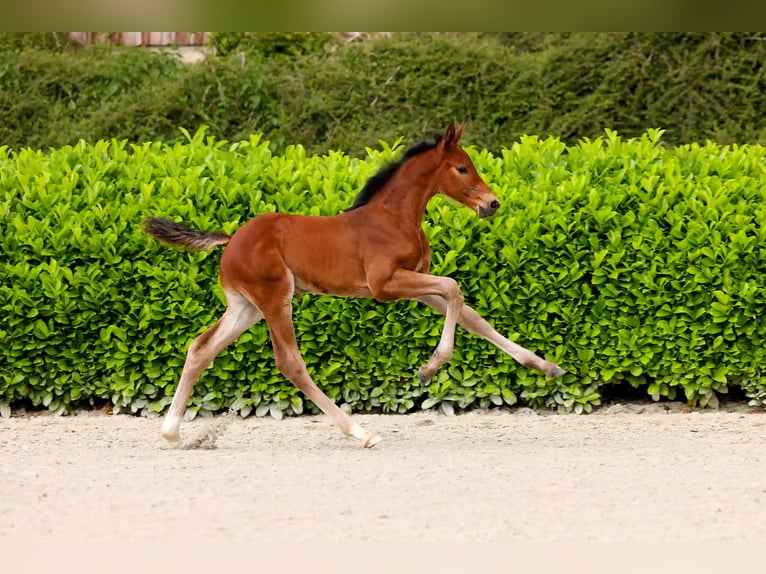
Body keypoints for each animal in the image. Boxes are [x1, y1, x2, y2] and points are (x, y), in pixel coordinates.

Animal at [142, 121, 565, 449]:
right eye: (462, 168)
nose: (492, 204)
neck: (394, 217)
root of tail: (230, 240)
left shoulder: (416, 284)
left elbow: (471, 315)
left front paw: (545, 366)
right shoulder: (384, 285)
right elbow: (454, 287)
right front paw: (429, 369)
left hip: (245, 307)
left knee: (200, 348)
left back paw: (172, 434)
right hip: (275, 298)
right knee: (289, 362)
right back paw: (361, 432)